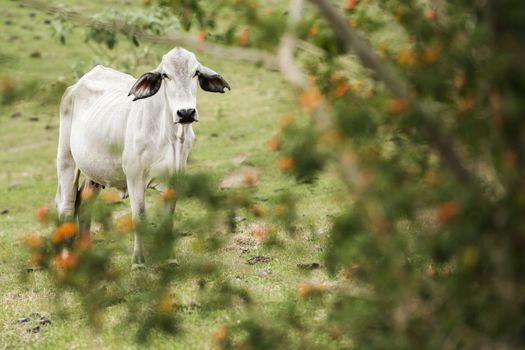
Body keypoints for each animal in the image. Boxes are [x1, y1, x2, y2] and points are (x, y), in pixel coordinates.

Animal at [54, 47, 230, 268]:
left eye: (196, 73)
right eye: (165, 75)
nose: (186, 112)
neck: (169, 137)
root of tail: (74, 86)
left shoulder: (176, 177)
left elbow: (168, 217)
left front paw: (170, 258)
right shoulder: (134, 177)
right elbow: (139, 217)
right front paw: (138, 262)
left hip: (94, 174)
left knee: (84, 205)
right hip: (66, 160)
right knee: (66, 206)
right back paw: (66, 258)